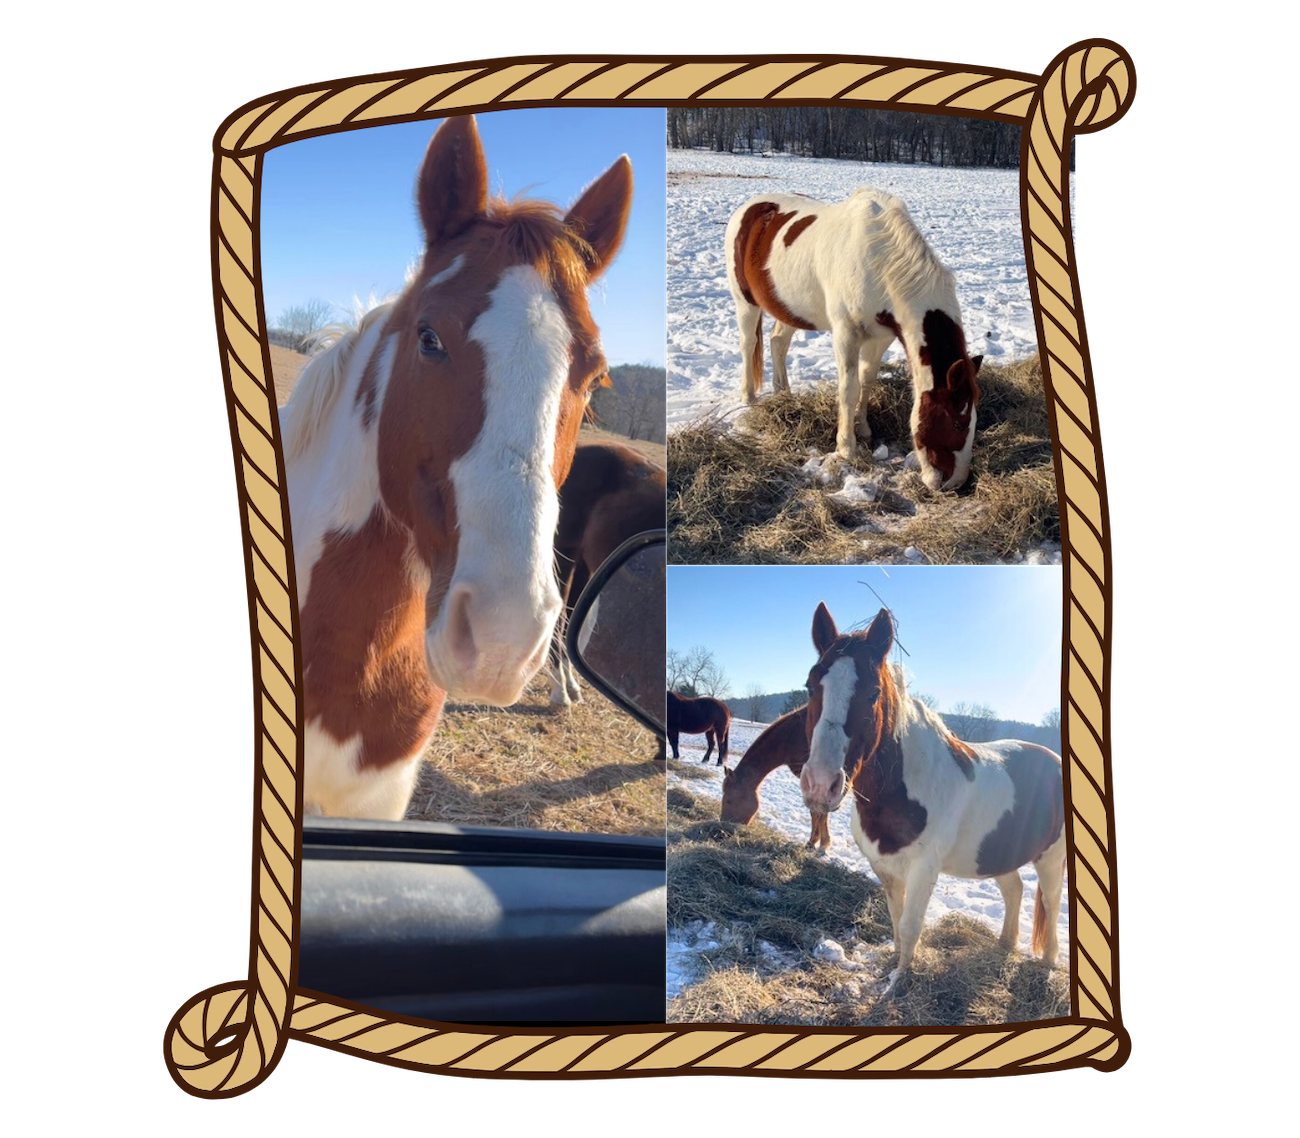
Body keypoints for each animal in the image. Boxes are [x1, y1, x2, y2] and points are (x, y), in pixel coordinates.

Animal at [548, 440, 666, 708]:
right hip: (564, 552)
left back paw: (572, 686)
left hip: (583, 563)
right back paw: (560, 691)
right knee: (559, 621)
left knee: (569, 622)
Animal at [719, 706, 830, 851]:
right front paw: (814, 842)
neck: (793, 735)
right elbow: (816, 811)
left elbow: (818, 811)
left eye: (729, 800)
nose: (723, 830)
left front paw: (820, 844)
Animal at [725, 189, 983, 491]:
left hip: (788, 309)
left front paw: (864, 429)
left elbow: (866, 380)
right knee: (748, 345)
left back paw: (783, 394)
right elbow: (849, 388)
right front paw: (847, 447)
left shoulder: (880, 338)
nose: (956, 483)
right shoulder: (846, 333)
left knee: (778, 342)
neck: (879, 261)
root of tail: (749, 208)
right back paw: (749, 397)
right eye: (958, 423)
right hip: (745, 302)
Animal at [800, 604, 1066, 992]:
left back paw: (1047, 963)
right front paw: (894, 965)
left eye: (873, 693)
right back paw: (1004, 945)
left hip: (1050, 860)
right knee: (1014, 889)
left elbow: (911, 927)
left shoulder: (923, 869)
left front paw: (898, 983)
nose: (821, 784)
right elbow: (896, 921)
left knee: (1051, 902)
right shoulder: (884, 867)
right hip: (999, 853)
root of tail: (1055, 761)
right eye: (810, 687)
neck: (903, 791)